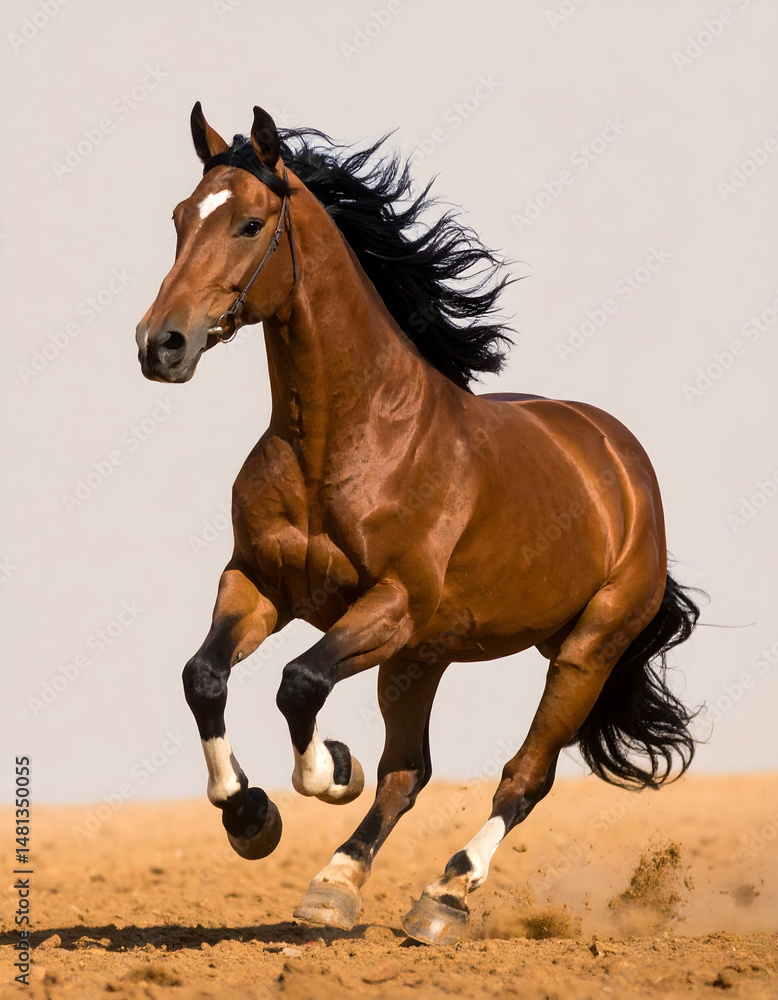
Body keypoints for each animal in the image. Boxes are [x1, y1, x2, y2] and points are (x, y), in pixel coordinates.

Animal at [135, 103, 700, 945]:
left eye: (249, 223)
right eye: (179, 218)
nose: (160, 345)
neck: (341, 438)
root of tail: (619, 459)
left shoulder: (392, 604)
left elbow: (299, 683)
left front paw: (329, 770)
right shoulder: (259, 585)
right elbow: (204, 677)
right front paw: (250, 816)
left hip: (584, 650)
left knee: (524, 776)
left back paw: (444, 897)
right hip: (421, 659)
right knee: (409, 773)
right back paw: (334, 885)